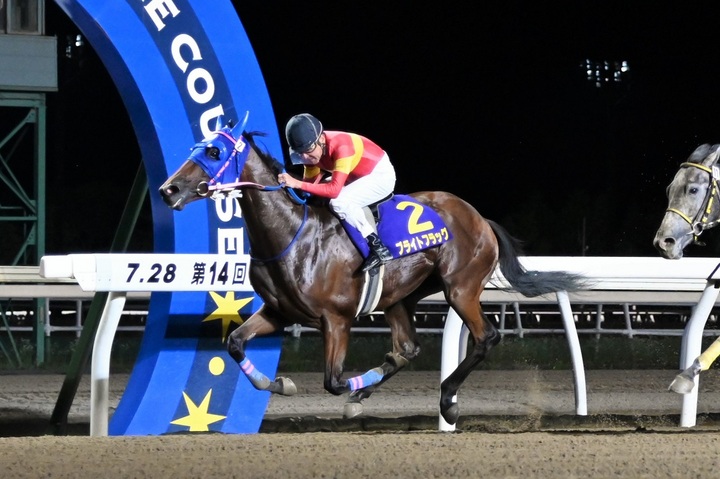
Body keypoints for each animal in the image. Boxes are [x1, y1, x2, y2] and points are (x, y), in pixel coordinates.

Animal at [158, 117, 587, 425]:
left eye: (214, 151)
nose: (168, 190)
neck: (291, 236)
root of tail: (480, 218)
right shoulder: (278, 311)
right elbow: (234, 343)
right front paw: (279, 383)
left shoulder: (336, 319)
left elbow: (332, 381)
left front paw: (344, 392)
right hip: (400, 297)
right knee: (407, 348)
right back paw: (377, 389)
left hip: (460, 287)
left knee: (485, 338)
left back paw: (447, 400)